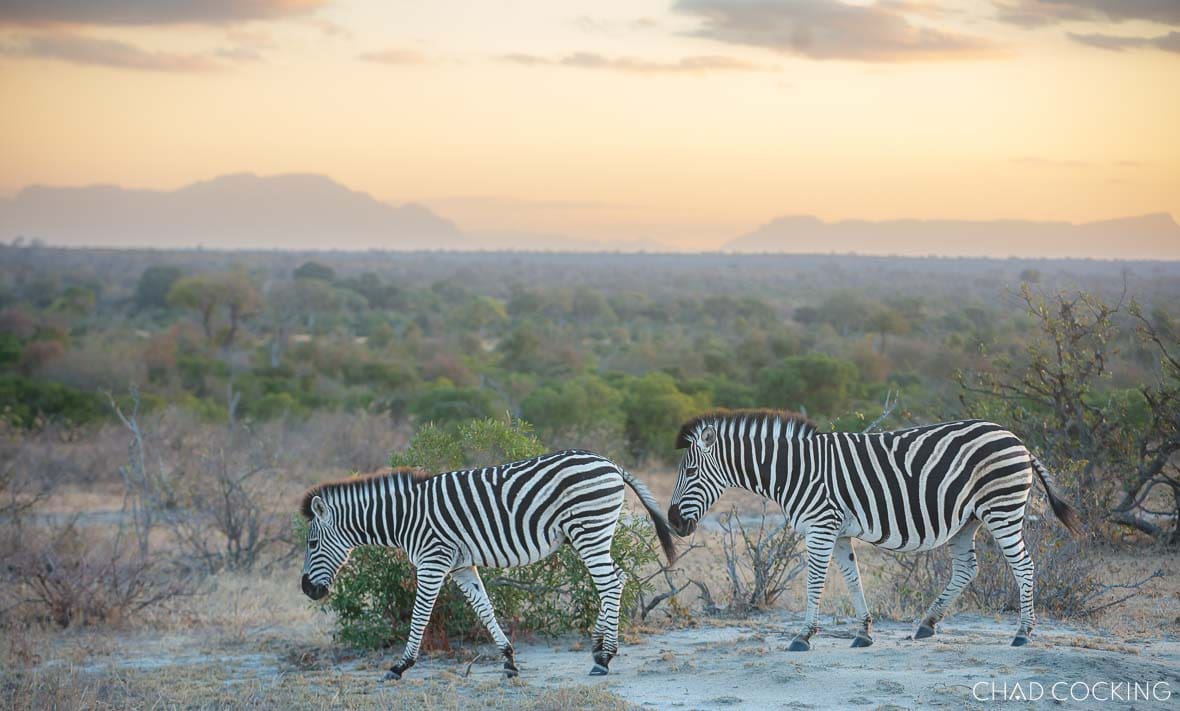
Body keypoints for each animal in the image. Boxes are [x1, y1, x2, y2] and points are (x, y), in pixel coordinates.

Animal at [300, 450, 676, 680]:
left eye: (312, 544)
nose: (306, 589)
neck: (405, 518)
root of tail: (611, 464)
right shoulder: (461, 566)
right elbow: (484, 609)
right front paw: (508, 661)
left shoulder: (433, 561)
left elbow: (420, 615)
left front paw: (400, 666)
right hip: (590, 533)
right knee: (618, 578)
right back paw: (598, 647)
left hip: (589, 529)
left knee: (610, 583)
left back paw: (605, 658)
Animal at [667, 409, 1080, 650]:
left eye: (690, 471)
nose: (672, 521)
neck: (794, 470)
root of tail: (1018, 441)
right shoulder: (838, 531)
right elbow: (852, 578)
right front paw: (863, 632)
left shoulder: (820, 526)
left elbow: (815, 581)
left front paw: (803, 636)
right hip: (968, 520)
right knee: (966, 569)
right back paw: (927, 624)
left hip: (1001, 509)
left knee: (1024, 566)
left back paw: (1023, 633)